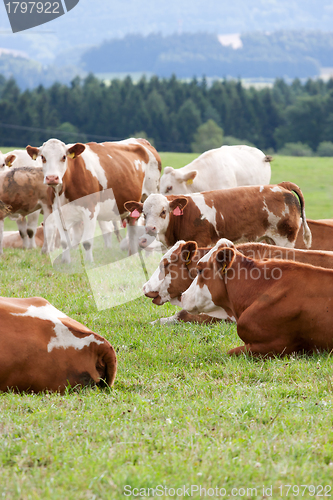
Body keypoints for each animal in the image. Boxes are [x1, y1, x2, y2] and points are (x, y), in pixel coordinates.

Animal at [26, 137, 161, 262]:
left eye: (64, 157)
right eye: (43, 157)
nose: (52, 178)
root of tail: (141, 141)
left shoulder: (90, 210)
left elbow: (87, 242)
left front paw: (89, 262)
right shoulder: (57, 212)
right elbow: (65, 242)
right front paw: (65, 262)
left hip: (151, 194)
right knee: (132, 228)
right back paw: (132, 255)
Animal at [124, 182, 312, 250]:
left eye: (163, 211)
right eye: (144, 213)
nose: (150, 228)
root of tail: (281, 186)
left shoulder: (201, 242)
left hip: (285, 238)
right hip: (270, 239)